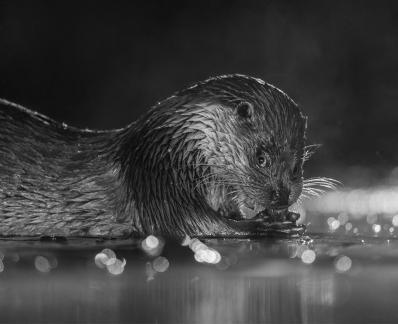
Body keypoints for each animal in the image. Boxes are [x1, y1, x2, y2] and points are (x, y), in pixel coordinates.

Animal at [0, 75, 334, 238]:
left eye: (297, 166)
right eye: (261, 157)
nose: (282, 196)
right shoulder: (156, 177)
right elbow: (194, 225)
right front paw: (271, 225)